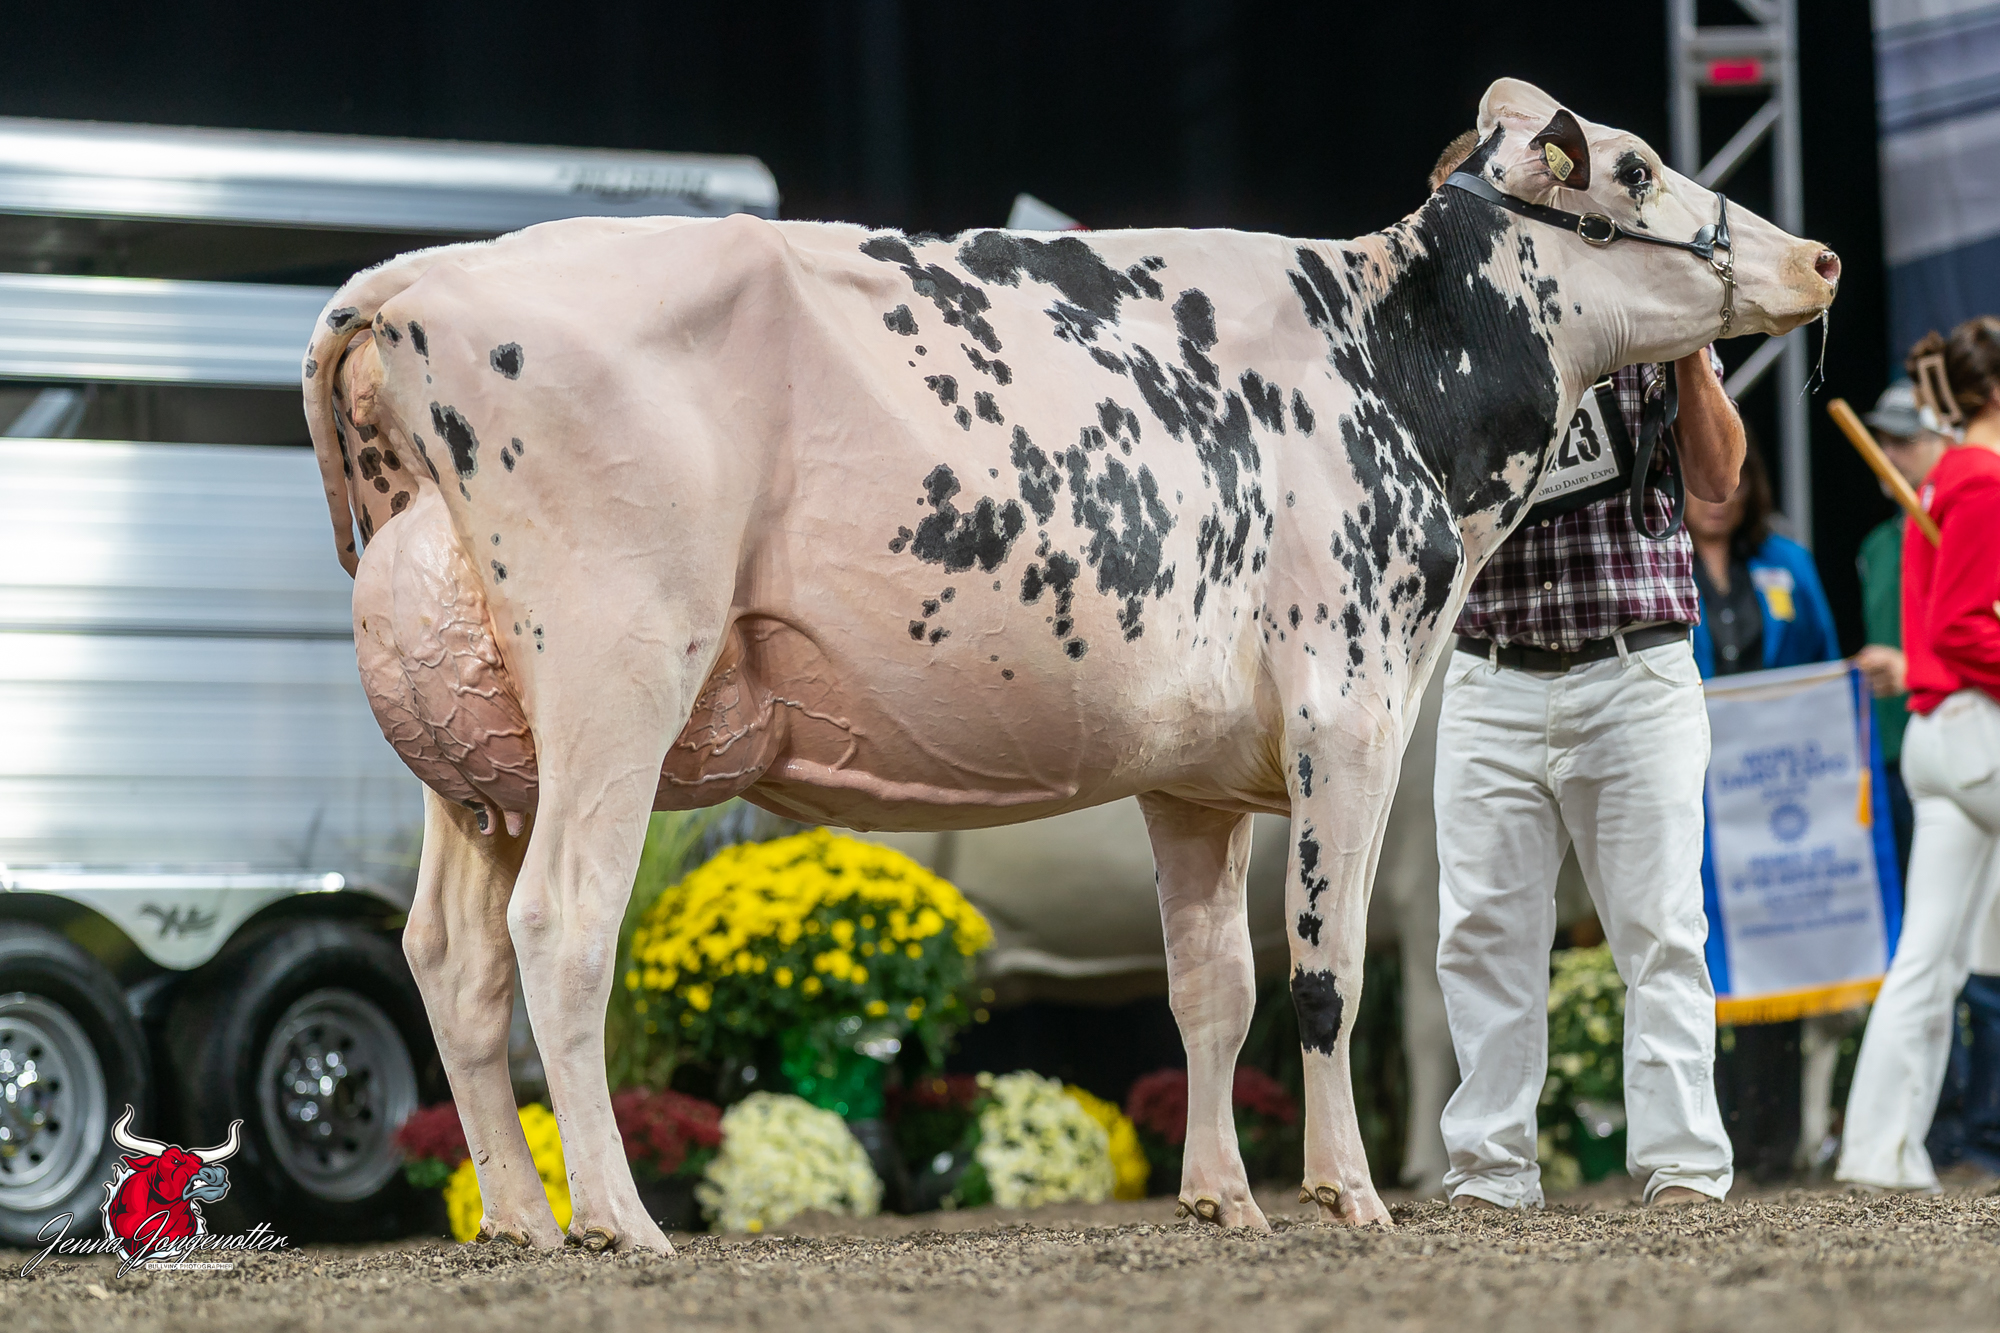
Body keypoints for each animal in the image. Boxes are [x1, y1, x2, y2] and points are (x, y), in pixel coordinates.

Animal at [302, 79, 1837, 1252]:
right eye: (1633, 166)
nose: (1818, 259)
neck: (1391, 375)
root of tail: (415, 280)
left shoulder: (1196, 778)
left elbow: (1210, 987)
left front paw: (1223, 1200)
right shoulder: (1346, 713)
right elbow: (1325, 978)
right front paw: (1347, 1196)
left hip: (480, 752)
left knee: (449, 955)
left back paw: (517, 1218)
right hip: (615, 678)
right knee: (561, 926)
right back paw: (620, 1219)